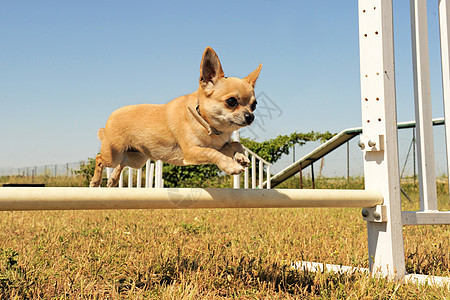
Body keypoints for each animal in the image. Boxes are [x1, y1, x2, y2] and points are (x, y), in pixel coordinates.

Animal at [89, 47, 262, 186]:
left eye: (254, 105)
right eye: (231, 101)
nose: (250, 116)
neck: (207, 125)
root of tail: (112, 116)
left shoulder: (221, 146)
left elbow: (235, 144)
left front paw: (241, 156)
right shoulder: (193, 151)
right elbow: (212, 153)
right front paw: (231, 165)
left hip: (136, 159)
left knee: (122, 164)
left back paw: (113, 179)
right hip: (113, 154)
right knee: (99, 159)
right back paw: (96, 181)